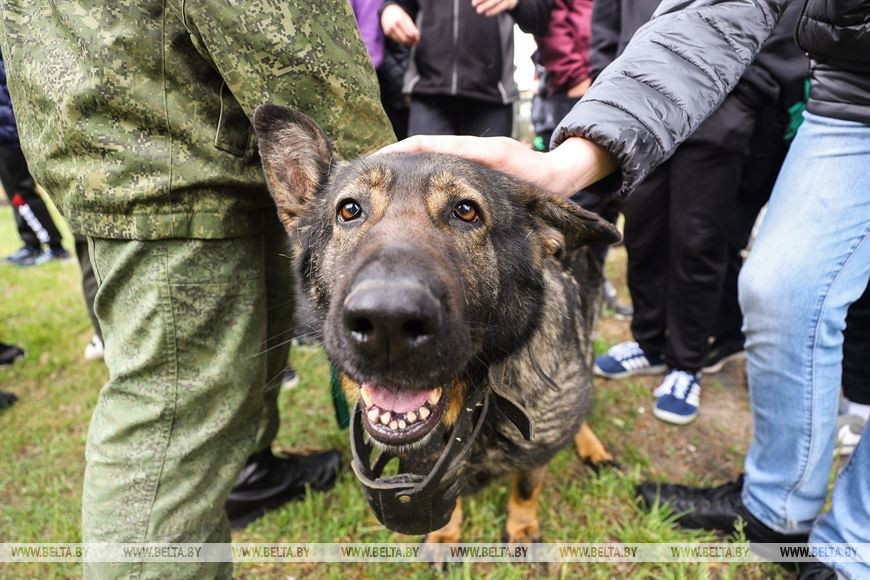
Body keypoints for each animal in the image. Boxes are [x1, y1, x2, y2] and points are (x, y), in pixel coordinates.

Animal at [253, 105, 620, 543]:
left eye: (466, 211)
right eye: (349, 210)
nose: (388, 323)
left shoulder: (536, 449)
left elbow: (526, 485)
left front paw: (521, 526)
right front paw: (445, 536)